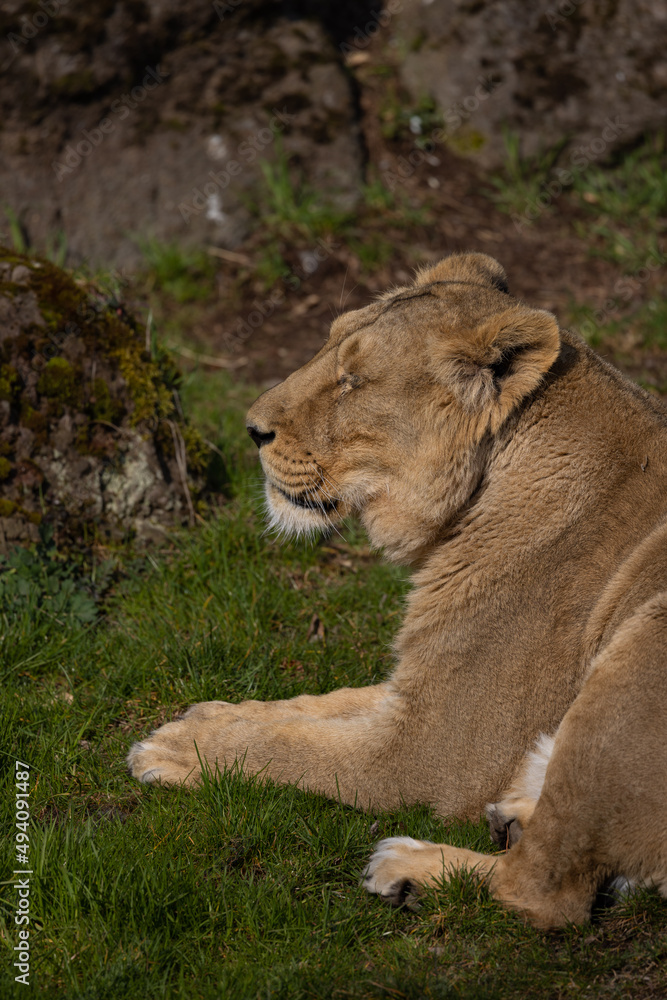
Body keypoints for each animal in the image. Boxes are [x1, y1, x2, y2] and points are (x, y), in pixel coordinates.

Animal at [128, 252, 667, 928]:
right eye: (327, 347)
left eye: (353, 381)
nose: (251, 430)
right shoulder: (416, 690)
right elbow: (318, 707)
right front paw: (209, 716)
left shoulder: (434, 749)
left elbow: (302, 751)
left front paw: (182, 747)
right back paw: (514, 813)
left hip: (643, 648)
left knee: (546, 895)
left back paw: (410, 867)